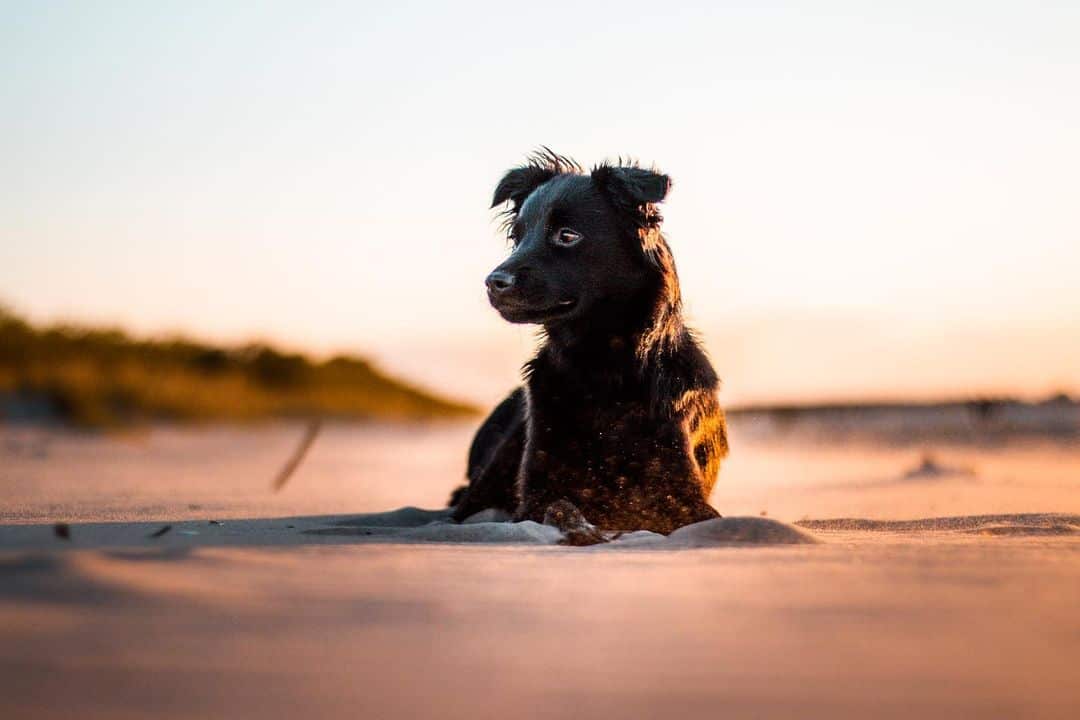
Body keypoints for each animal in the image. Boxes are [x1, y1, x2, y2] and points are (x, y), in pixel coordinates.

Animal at [447, 151, 725, 535]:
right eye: (517, 237)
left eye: (567, 235)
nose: (493, 282)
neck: (600, 363)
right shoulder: (536, 491)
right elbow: (557, 506)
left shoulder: (682, 493)